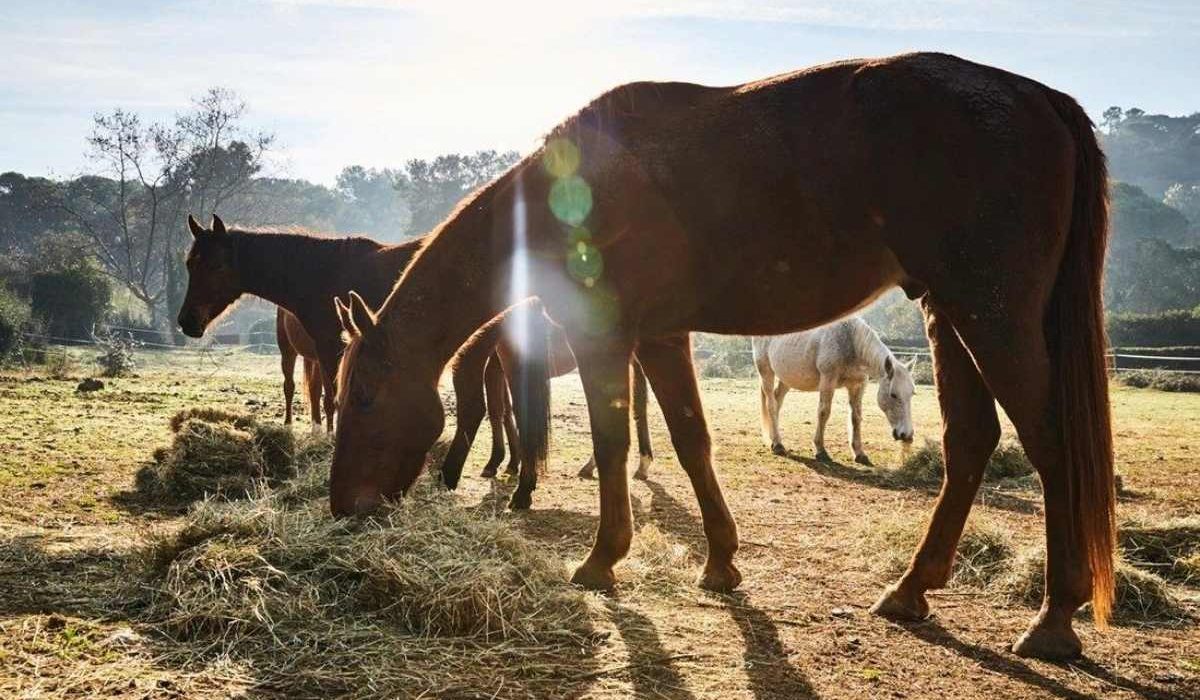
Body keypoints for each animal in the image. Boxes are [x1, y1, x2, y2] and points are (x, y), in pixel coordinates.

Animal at [753, 317, 915, 465]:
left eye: (912, 394)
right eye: (893, 395)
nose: (906, 435)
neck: (850, 341)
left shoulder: (857, 386)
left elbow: (856, 417)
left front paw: (859, 453)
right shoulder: (828, 380)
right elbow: (824, 412)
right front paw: (821, 451)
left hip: (787, 379)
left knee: (777, 401)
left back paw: (774, 439)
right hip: (766, 372)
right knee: (771, 404)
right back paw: (778, 445)